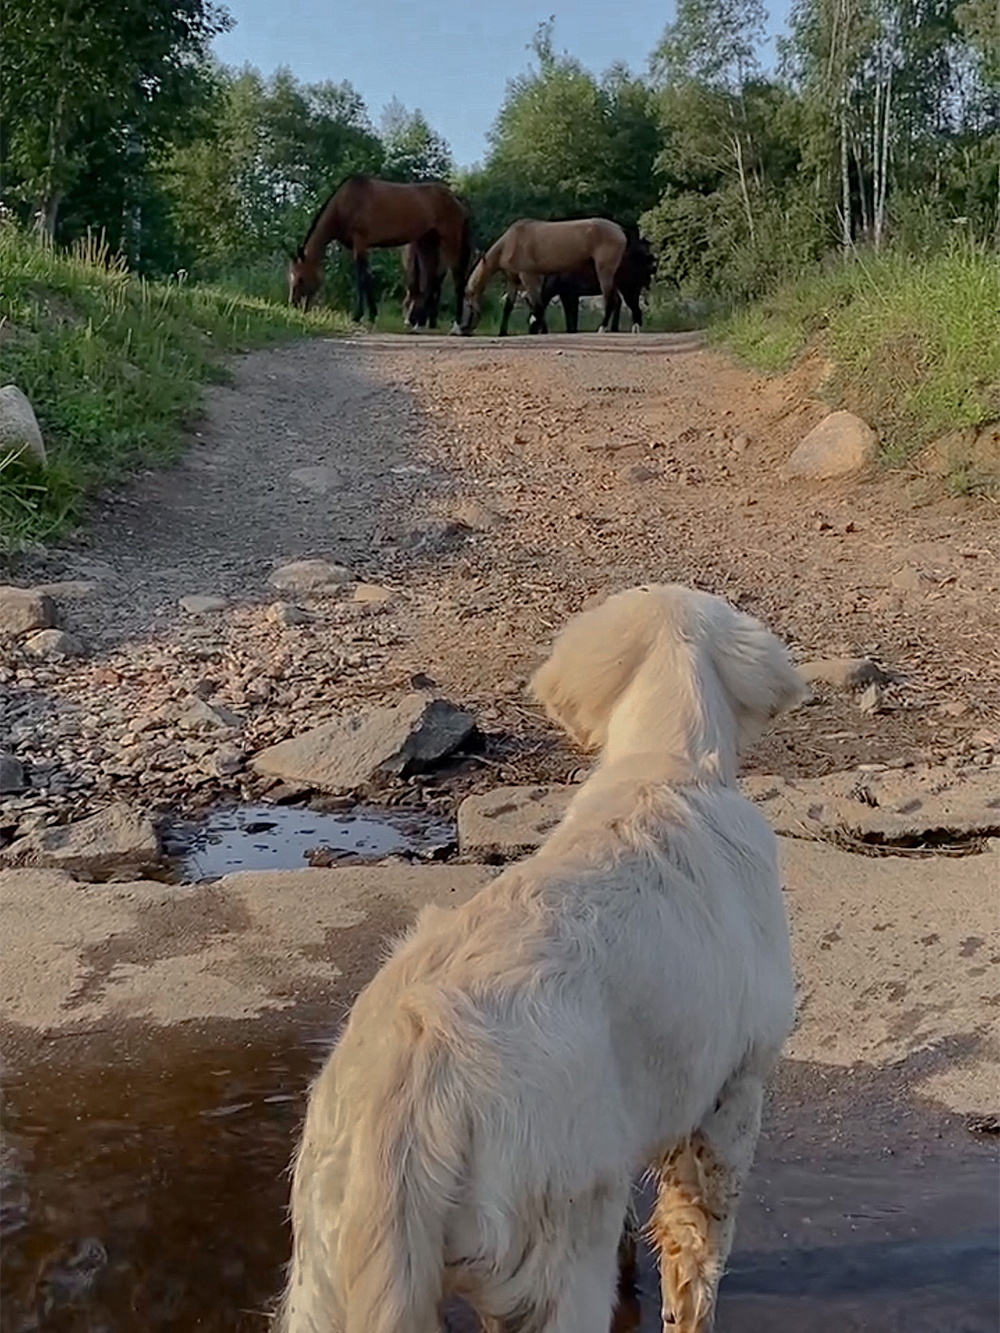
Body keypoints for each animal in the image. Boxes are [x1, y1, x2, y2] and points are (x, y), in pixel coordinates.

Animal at [278, 586, 810, 1333]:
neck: (665, 766)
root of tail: (409, 1082)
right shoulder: (734, 1092)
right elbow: (696, 1251)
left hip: (324, 1274)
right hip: (556, 1255)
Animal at [288, 175, 472, 323]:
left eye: (301, 279)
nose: (293, 305)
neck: (345, 203)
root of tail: (456, 201)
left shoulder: (360, 243)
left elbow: (361, 278)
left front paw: (359, 315)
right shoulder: (359, 247)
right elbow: (367, 277)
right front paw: (371, 314)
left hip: (449, 241)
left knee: (457, 278)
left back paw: (456, 322)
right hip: (427, 243)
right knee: (432, 279)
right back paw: (418, 320)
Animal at [461, 217, 626, 333]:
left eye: (468, 299)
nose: (463, 329)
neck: (510, 242)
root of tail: (619, 230)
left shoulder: (529, 277)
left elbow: (538, 306)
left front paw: (543, 331)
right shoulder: (513, 281)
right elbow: (509, 307)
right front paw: (503, 332)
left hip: (604, 273)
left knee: (610, 301)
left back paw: (602, 328)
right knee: (616, 300)